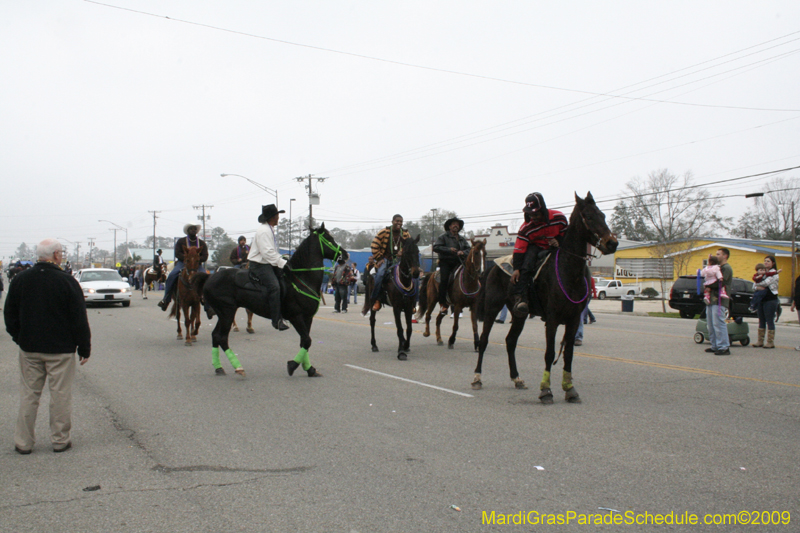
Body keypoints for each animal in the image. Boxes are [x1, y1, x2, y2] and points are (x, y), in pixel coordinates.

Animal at [195, 224, 346, 378]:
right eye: (329, 239)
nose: (345, 254)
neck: (300, 278)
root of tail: (209, 278)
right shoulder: (296, 317)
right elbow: (307, 341)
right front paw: (292, 365)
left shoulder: (307, 318)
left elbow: (304, 342)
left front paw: (309, 369)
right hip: (227, 313)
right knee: (222, 338)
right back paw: (238, 367)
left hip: (223, 314)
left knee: (215, 336)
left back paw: (219, 367)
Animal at [476, 192, 620, 404]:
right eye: (589, 216)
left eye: (602, 215)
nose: (612, 243)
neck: (569, 271)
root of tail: (493, 266)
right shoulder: (552, 319)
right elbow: (550, 353)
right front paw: (546, 391)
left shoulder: (573, 319)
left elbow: (568, 354)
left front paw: (570, 389)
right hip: (492, 308)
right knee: (484, 340)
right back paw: (477, 378)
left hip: (519, 314)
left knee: (510, 341)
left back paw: (517, 378)